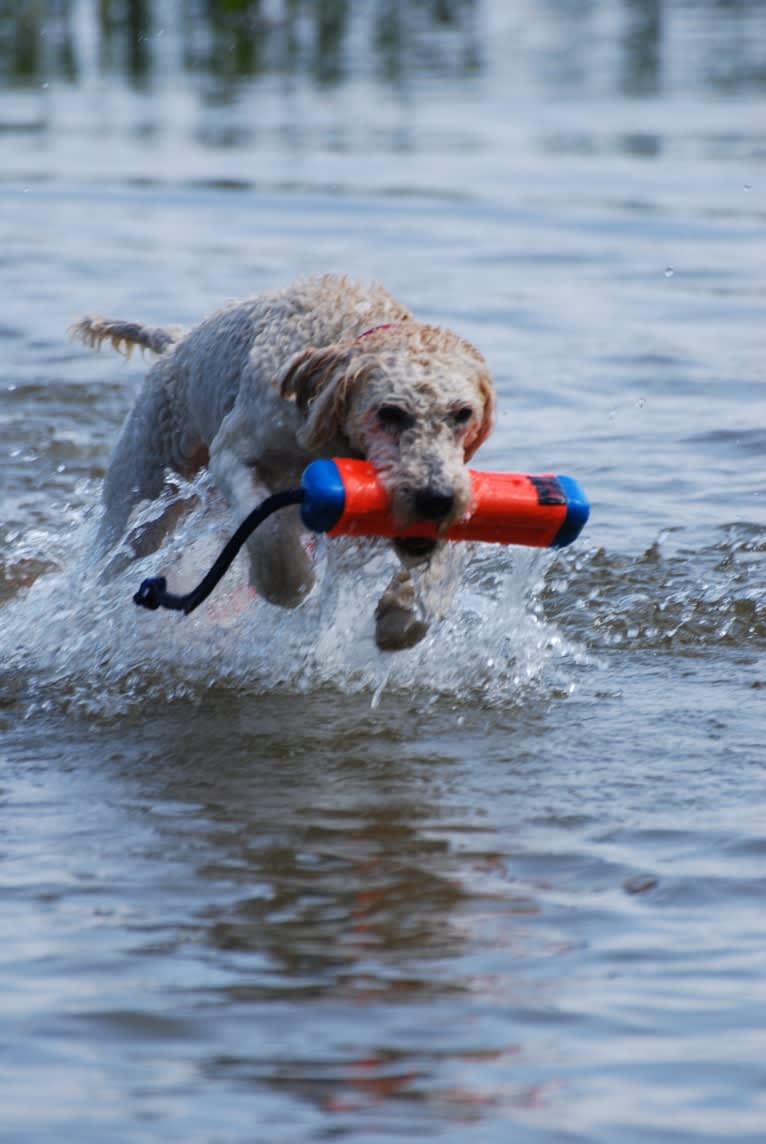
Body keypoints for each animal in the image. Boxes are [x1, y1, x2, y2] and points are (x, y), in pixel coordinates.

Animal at [73, 275, 498, 649]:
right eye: (389, 412)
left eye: (463, 414)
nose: (437, 499)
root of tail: (176, 342)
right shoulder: (234, 454)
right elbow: (270, 530)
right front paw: (287, 584)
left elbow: (447, 557)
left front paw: (406, 610)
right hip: (143, 490)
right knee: (114, 553)